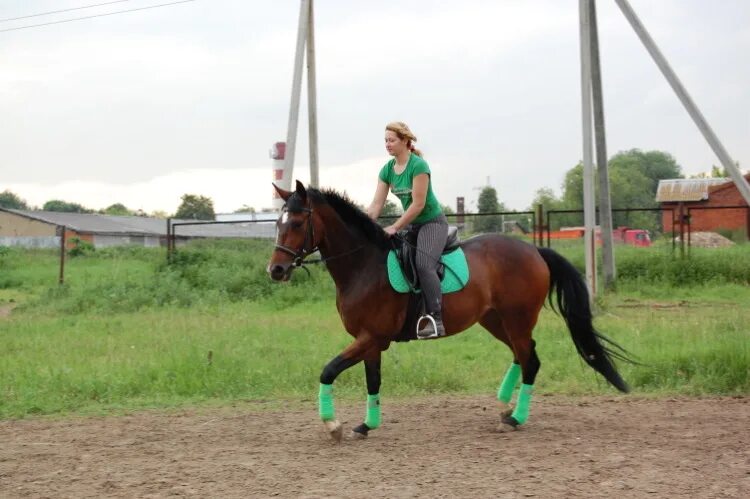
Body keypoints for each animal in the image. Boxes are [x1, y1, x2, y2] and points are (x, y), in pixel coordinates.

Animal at [268, 183, 632, 442]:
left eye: (298, 222)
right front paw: (366, 426)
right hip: (495, 320)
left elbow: (328, 371)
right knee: (522, 354)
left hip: (517, 319)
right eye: (277, 223)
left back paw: (515, 418)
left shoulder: (371, 337)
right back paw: (504, 406)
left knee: (530, 360)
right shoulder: (369, 341)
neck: (362, 266)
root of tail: (535, 250)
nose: (276, 270)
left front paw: (333, 425)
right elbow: (373, 381)